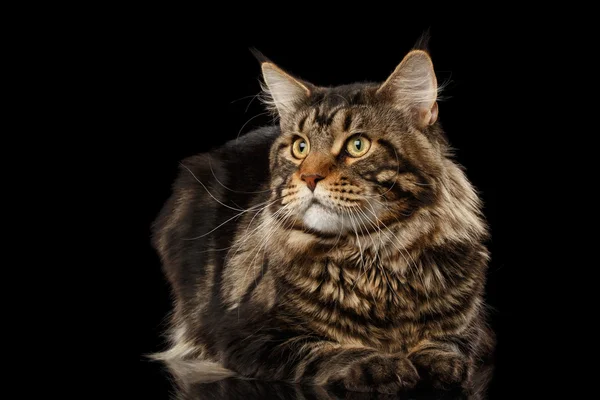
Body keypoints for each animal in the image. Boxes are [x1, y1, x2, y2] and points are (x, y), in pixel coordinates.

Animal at [152, 47, 494, 394]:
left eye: (358, 145)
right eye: (299, 147)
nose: (309, 177)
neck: (373, 259)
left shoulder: (473, 329)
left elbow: (449, 345)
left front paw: (435, 360)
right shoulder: (246, 335)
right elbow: (323, 349)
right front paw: (380, 363)